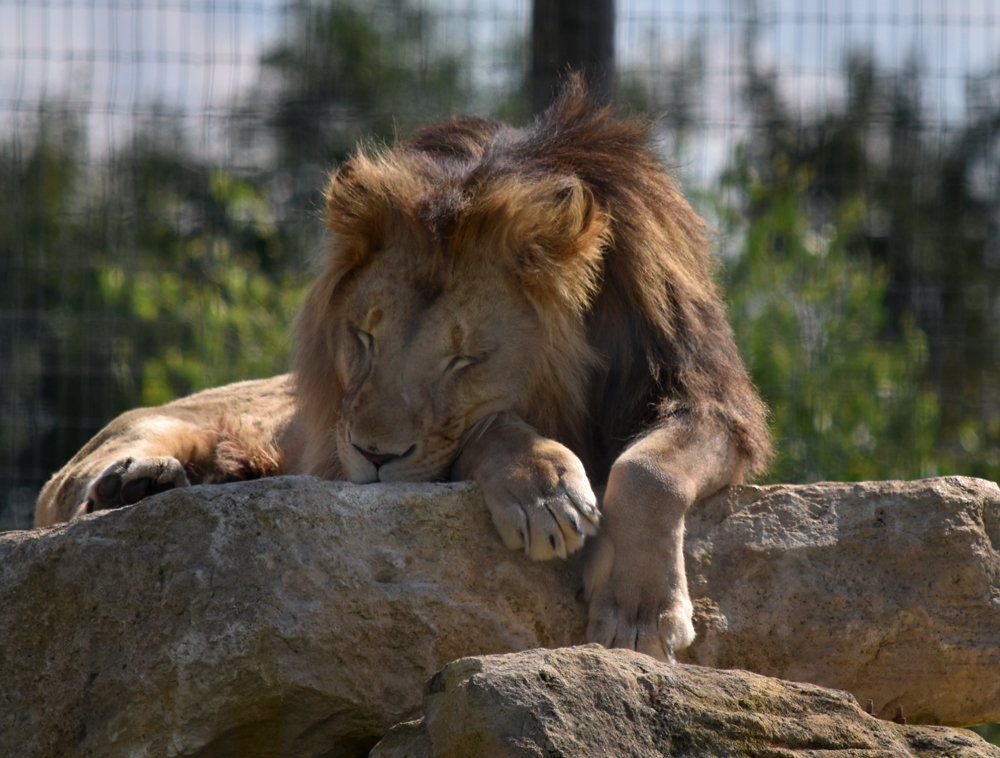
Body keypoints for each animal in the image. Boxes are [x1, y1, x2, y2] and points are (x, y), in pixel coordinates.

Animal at [36, 77, 770, 662]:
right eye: (364, 338)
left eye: (465, 358)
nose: (373, 456)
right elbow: (490, 431)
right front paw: (544, 493)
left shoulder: (712, 401)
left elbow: (649, 470)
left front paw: (639, 612)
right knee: (71, 487)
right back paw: (128, 484)